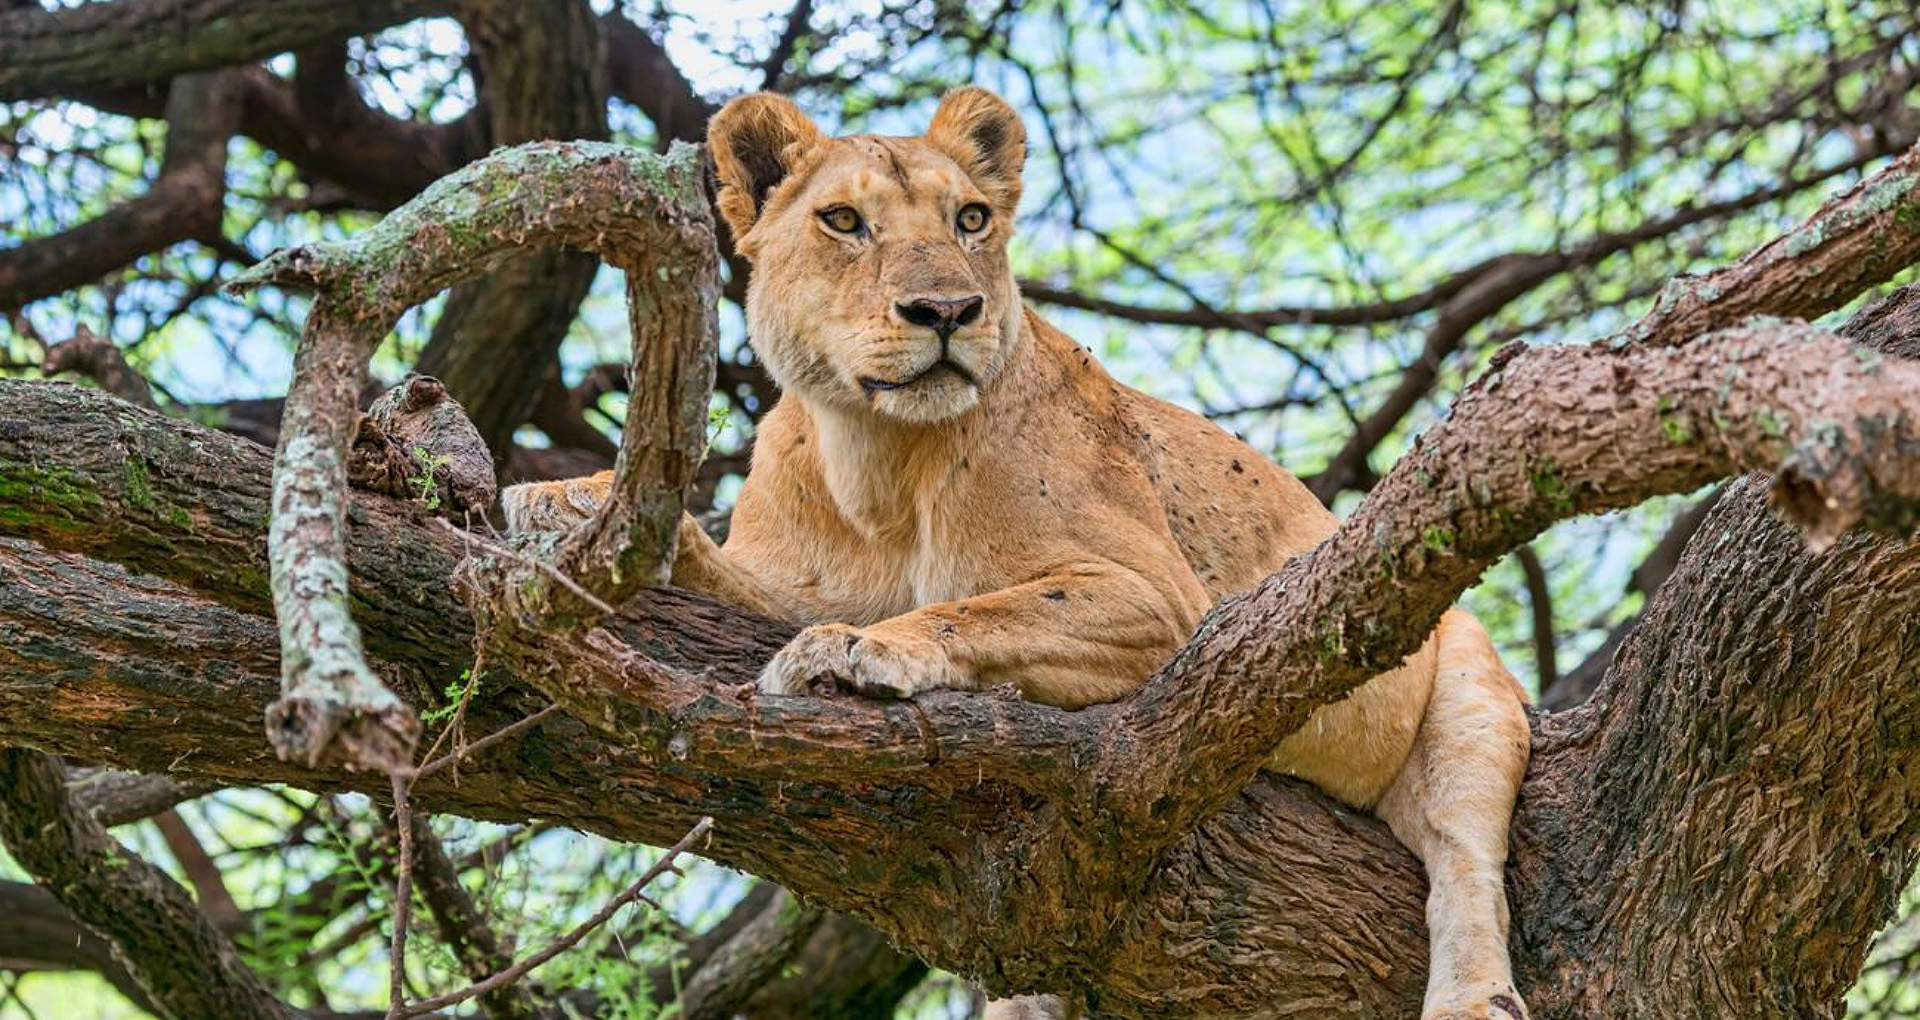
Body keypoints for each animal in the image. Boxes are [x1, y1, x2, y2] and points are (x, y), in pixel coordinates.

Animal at [503, 87, 1532, 1020]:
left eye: (970, 219)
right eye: (845, 222)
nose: (947, 310)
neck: (877, 458)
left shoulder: (1170, 606)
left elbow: (981, 607)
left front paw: (854, 652)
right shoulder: (788, 583)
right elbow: (709, 565)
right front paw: (563, 501)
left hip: (1466, 687)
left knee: (1465, 858)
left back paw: (1472, 997)